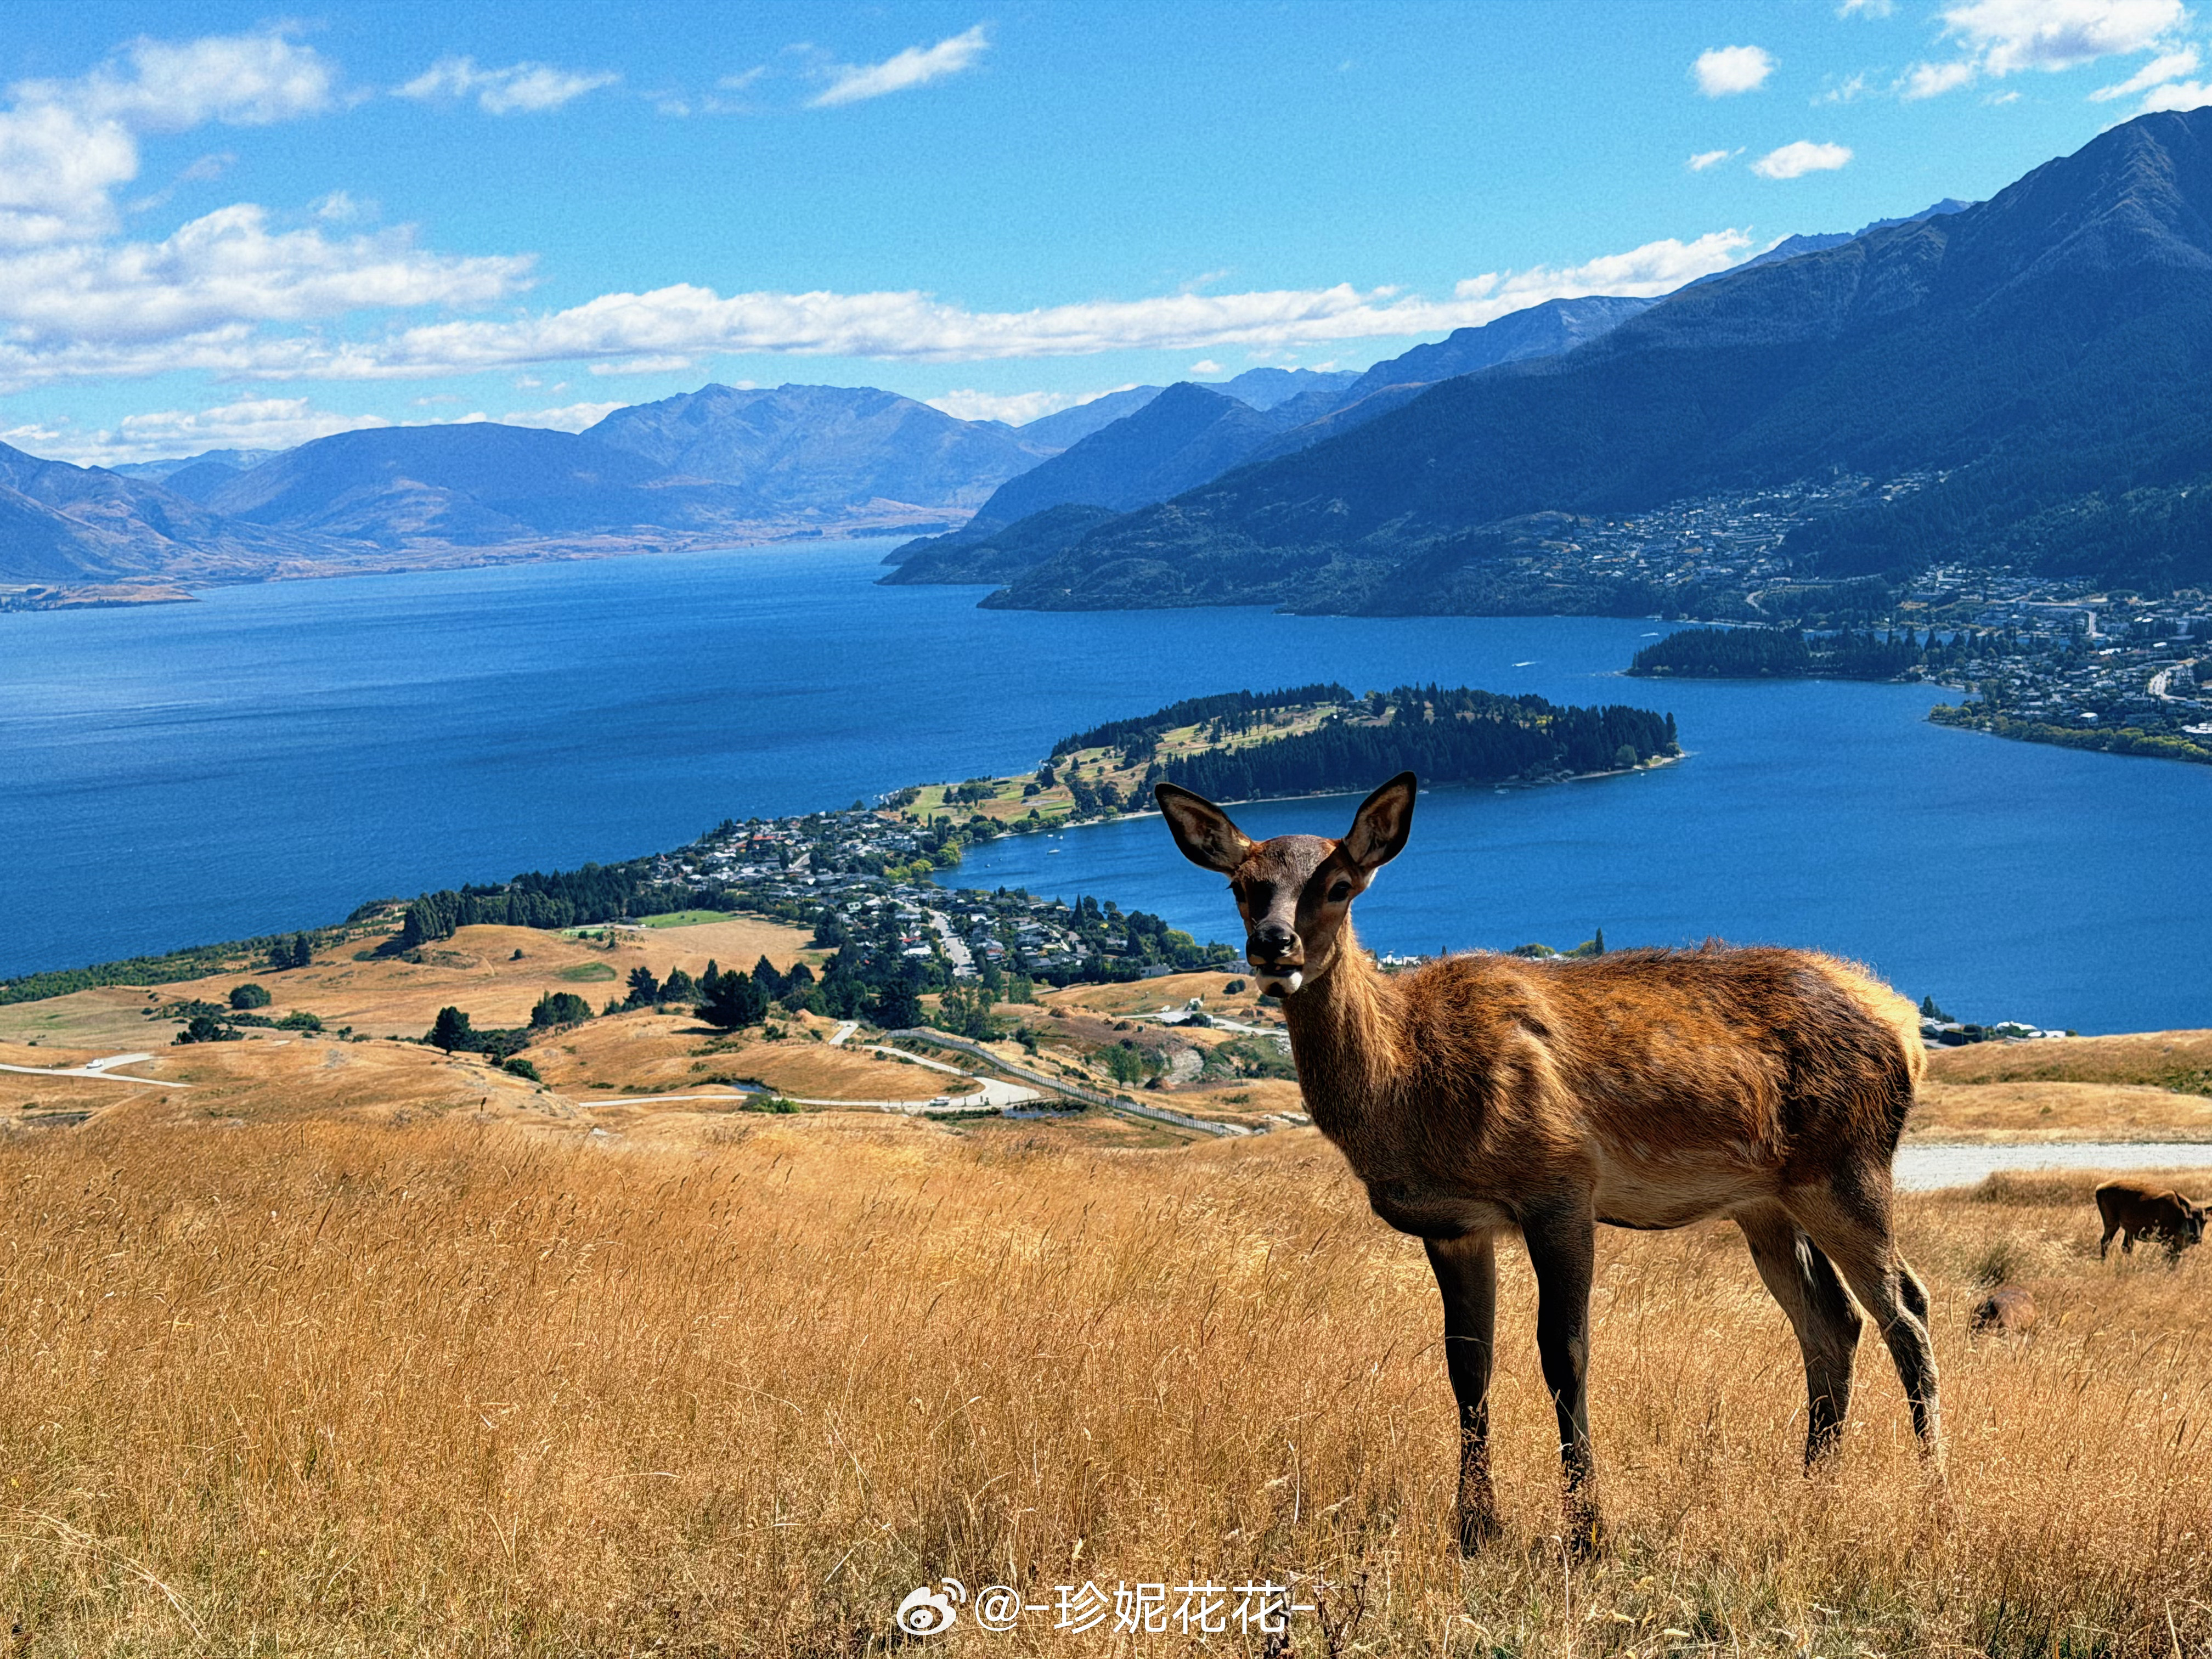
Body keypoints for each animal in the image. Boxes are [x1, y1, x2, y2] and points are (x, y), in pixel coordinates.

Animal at [1155, 771, 1942, 1554]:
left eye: (1340, 885)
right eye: (1241, 885)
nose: (1273, 945)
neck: (1411, 1091)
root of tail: (1906, 1027)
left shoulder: (1560, 1184)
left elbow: (1564, 1353)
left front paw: (1587, 1531)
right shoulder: (1453, 1225)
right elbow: (1467, 1362)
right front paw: (1476, 1526)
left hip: (1847, 1164)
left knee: (1907, 1306)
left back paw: (1934, 1499)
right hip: (1765, 1200)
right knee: (1833, 1319)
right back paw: (1812, 1490)